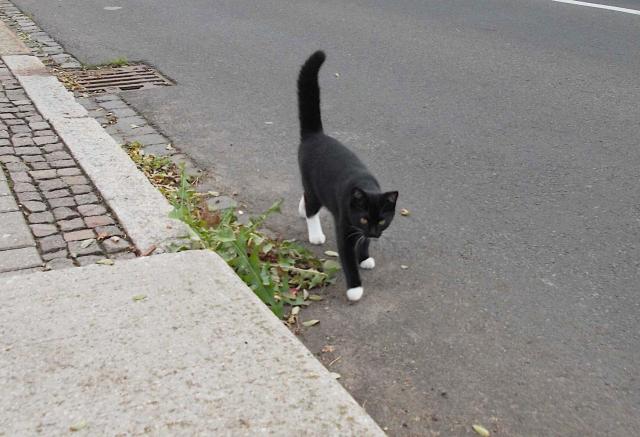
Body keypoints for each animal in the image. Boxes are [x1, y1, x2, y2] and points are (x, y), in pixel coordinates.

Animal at [298, 48, 398, 300]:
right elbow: (347, 258)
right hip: (313, 184)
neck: (366, 185)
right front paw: (355, 289)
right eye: (363, 218)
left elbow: (363, 243)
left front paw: (365, 256)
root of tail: (316, 135)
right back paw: (315, 233)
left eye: (381, 220)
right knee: (312, 205)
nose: (373, 232)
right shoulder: (344, 226)